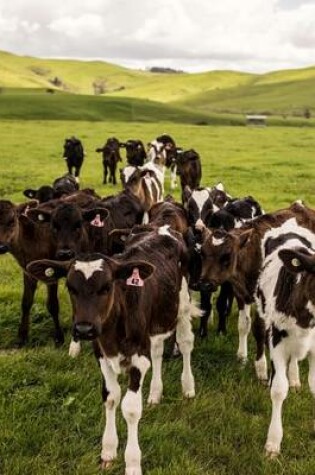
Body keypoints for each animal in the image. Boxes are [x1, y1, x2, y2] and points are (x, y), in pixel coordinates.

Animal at [27, 227, 196, 475]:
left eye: (106, 287)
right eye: (70, 287)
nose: (84, 329)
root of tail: (162, 228)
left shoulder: (138, 359)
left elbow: (131, 408)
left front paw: (133, 463)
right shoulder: (102, 356)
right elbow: (110, 397)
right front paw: (108, 450)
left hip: (181, 304)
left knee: (185, 343)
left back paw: (188, 388)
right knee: (157, 350)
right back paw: (155, 394)